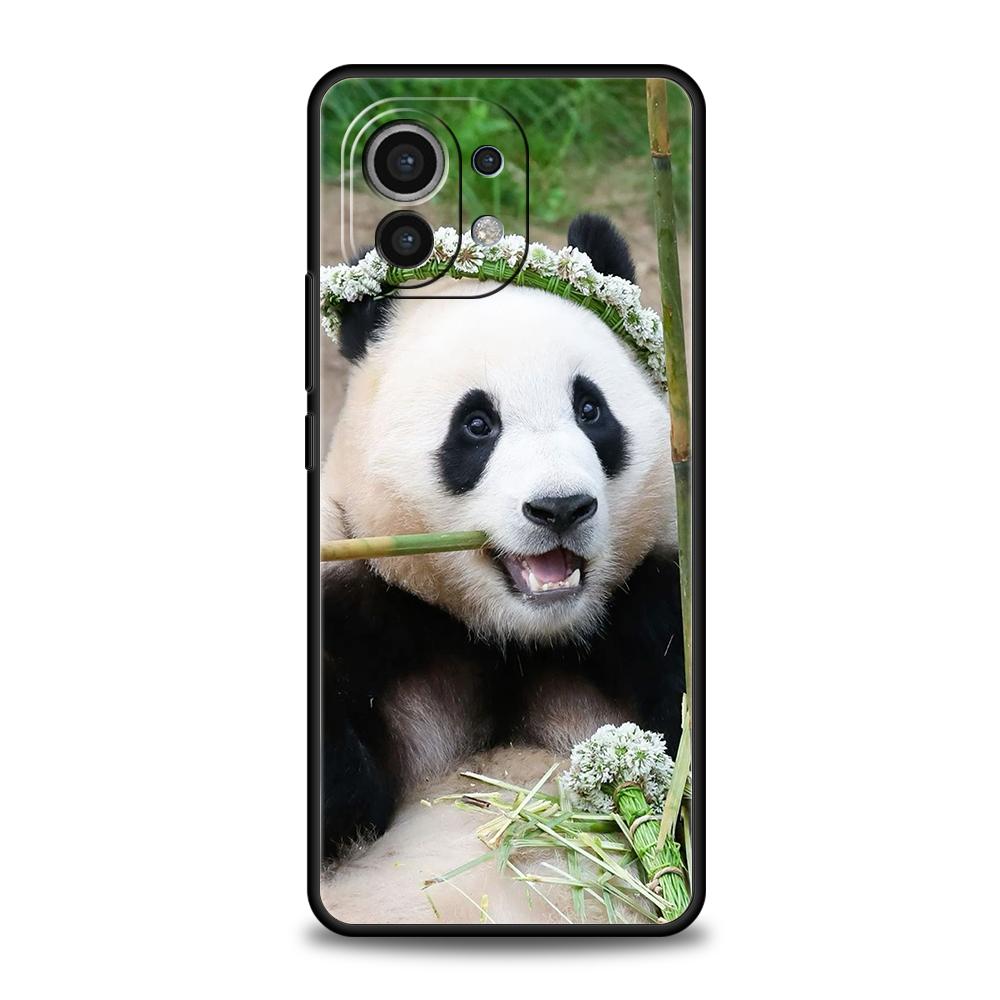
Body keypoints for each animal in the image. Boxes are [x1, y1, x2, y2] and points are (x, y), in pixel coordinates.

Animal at [319, 215, 685, 923]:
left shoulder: (650, 605)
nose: (560, 508)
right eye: (477, 424)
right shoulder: (361, 598)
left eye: (591, 410)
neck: (514, 641)